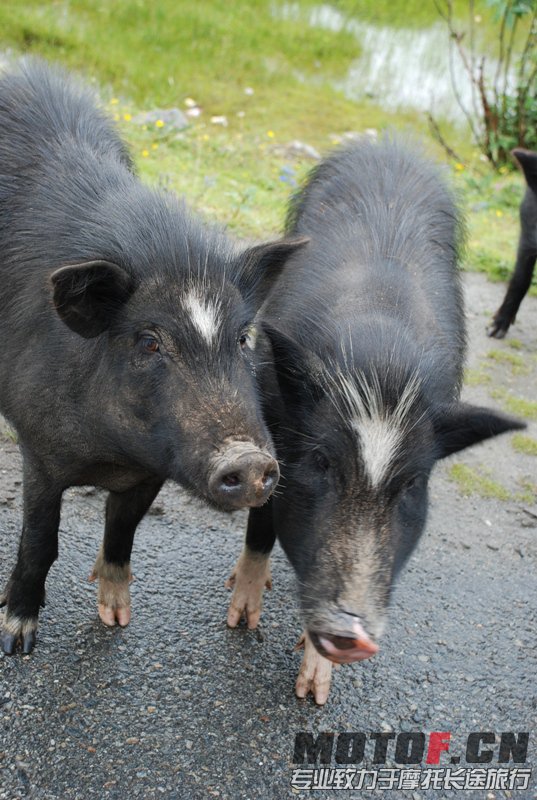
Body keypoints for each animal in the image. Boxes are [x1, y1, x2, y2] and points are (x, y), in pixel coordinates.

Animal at [0, 59, 304, 652]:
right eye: (148, 341)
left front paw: (115, 617)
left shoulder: (153, 468)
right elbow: (40, 538)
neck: (110, 454)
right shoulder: (40, 448)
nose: (249, 460)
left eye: (242, 338)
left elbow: (123, 527)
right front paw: (16, 639)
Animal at [226, 141, 524, 704]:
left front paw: (313, 694)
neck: (379, 366)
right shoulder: (272, 426)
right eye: (321, 461)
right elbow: (261, 518)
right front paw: (240, 621)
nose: (353, 633)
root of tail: (388, 144)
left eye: (411, 484)